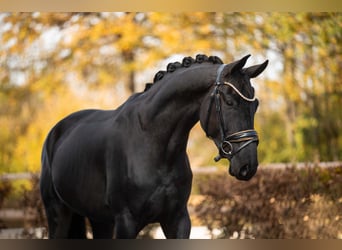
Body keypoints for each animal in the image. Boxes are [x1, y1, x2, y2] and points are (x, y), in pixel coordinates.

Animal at [40, 54, 268, 238]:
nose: (248, 166)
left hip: (99, 220)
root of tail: (56, 131)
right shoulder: (126, 222)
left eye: (255, 105)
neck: (153, 143)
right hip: (58, 214)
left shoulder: (177, 220)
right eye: (229, 102)